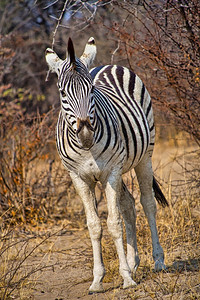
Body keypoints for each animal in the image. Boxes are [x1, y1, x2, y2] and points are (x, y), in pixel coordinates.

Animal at [45, 36, 167, 292]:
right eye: (62, 92)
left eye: (91, 89)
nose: (85, 133)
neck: (86, 149)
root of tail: (108, 65)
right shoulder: (78, 177)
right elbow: (94, 225)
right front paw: (98, 280)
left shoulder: (111, 171)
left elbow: (113, 223)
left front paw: (126, 278)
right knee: (129, 205)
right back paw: (133, 262)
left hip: (144, 156)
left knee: (147, 203)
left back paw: (158, 261)